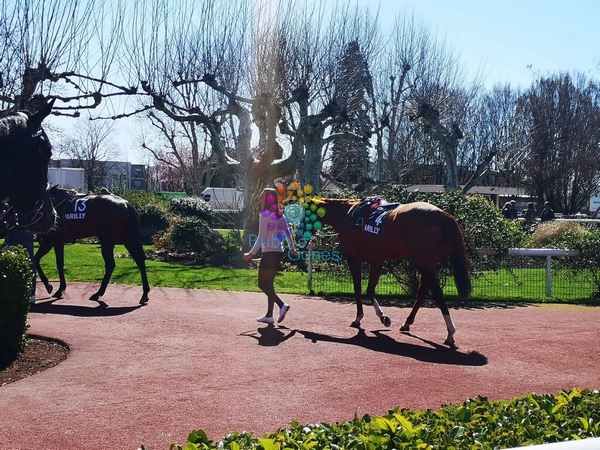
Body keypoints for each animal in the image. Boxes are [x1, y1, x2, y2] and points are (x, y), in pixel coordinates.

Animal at [314, 197, 471, 347]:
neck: (347, 214)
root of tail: (444, 216)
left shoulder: (354, 259)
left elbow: (358, 289)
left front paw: (360, 318)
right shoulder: (376, 260)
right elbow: (369, 289)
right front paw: (383, 318)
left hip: (424, 262)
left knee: (436, 293)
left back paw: (450, 332)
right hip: (428, 264)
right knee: (423, 291)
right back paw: (407, 323)